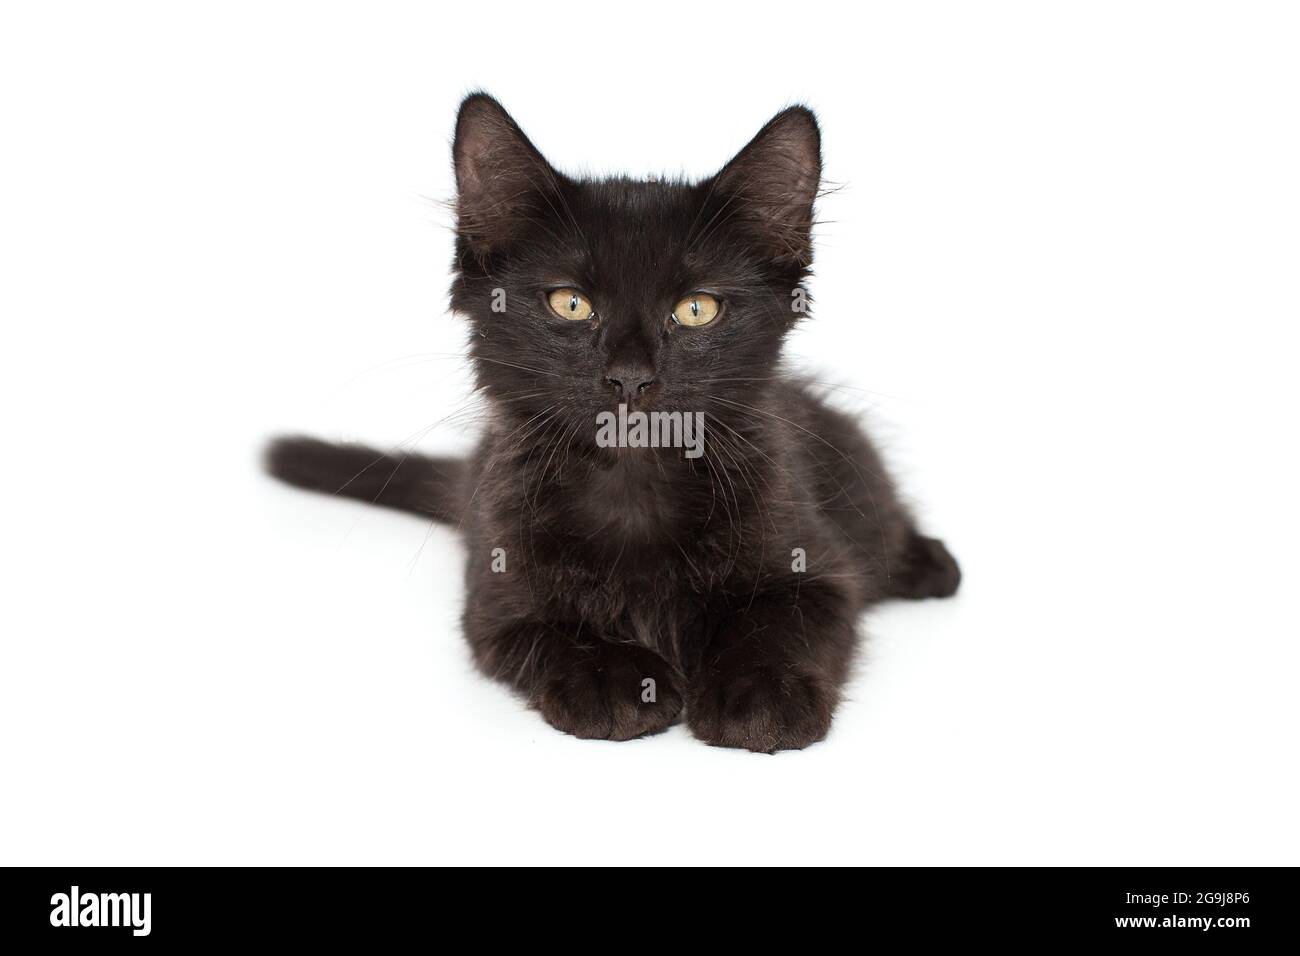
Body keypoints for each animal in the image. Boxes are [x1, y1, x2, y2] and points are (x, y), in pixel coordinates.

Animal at [266, 95, 956, 754]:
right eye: (570, 303)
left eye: (697, 309)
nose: (629, 377)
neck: (632, 489)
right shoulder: (496, 595)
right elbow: (550, 631)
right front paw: (618, 682)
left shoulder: (815, 563)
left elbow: (784, 622)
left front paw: (759, 695)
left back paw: (928, 563)